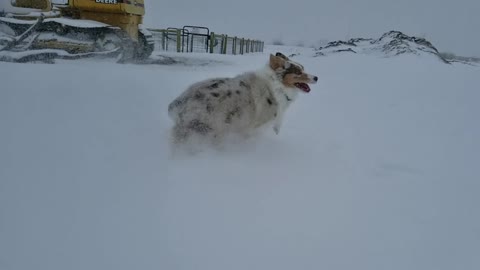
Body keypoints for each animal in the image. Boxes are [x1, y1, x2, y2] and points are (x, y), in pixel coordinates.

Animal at [167, 52, 316, 146]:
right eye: (298, 72)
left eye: (303, 68)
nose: (316, 77)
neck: (277, 85)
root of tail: (177, 104)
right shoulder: (253, 126)